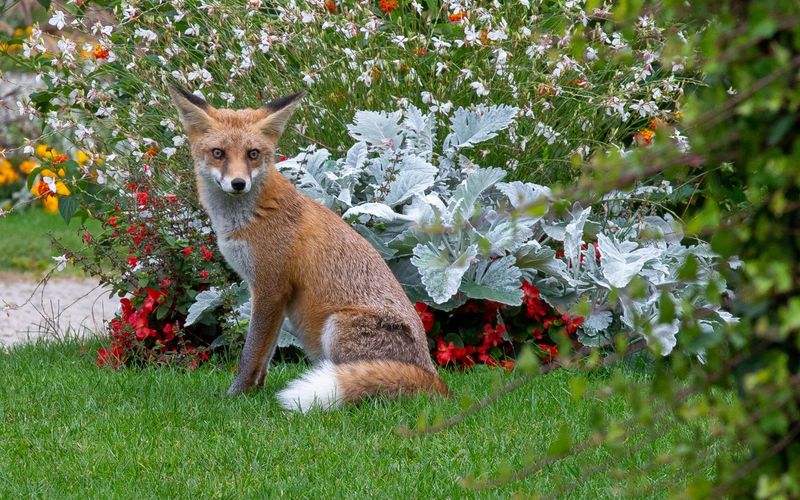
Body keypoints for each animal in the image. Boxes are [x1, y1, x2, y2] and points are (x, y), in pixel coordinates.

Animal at [167, 84, 450, 412]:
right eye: (218, 153)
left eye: (253, 154)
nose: (238, 183)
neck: (248, 217)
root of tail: (433, 377)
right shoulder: (272, 296)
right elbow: (265, 354)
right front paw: (255, 391)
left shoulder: (270, 286)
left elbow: (250, 352)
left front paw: (235, 395)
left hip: (336, 326)